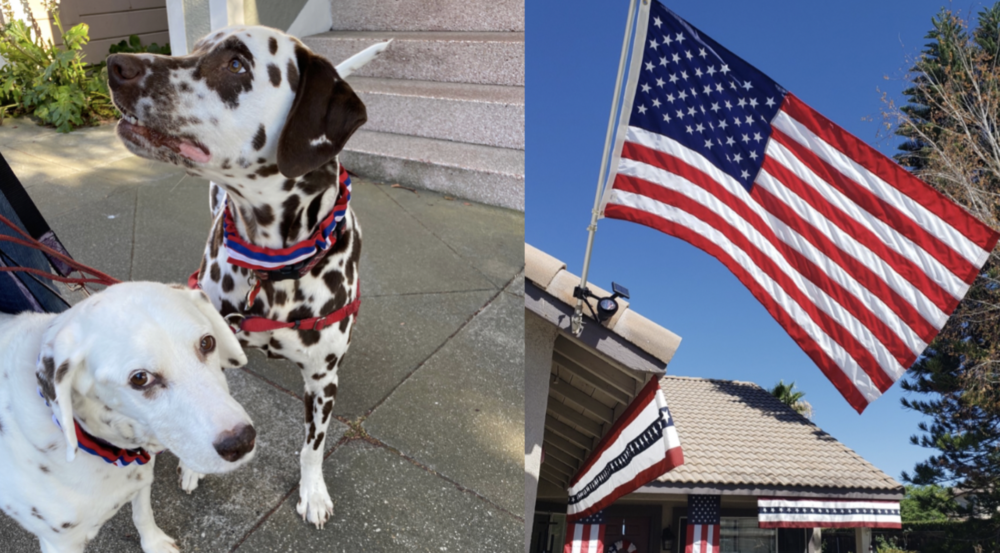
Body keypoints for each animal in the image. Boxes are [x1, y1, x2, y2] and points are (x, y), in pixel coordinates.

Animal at [0, 282, 258, 548]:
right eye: (140, 378)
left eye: (207, 342)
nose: (242, 442)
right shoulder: (61, 542)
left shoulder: (141, 477)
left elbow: (143, 514)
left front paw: (154, 543)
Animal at [106, 27, 386, 528]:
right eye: (196, 47)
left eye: (236, 63)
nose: (116, 65)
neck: (275, 270)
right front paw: (195, 464)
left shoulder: (322, 380)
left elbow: (312, 449)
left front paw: (313, 491)